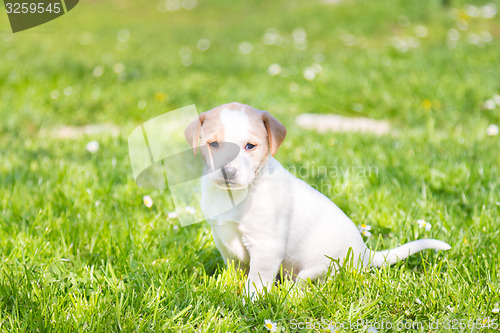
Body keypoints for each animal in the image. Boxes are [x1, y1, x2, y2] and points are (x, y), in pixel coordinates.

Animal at [184, 101, 450, 296]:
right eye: (213, 144)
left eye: (250, 146)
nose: (228, 172)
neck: (234, 195)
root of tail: (365, 253)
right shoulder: (224, 240)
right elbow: (235, 269)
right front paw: (228, 287)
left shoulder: (266, 246)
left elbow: (257, 280)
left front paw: (251, 301)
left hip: (319, 266)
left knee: (308, 283)